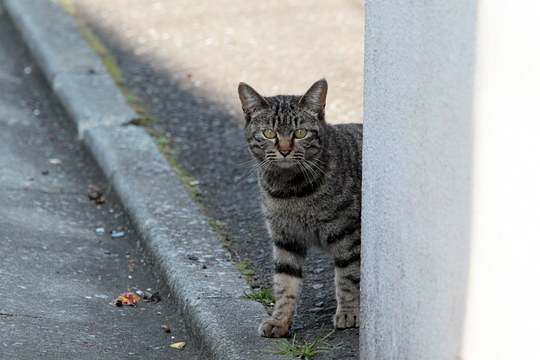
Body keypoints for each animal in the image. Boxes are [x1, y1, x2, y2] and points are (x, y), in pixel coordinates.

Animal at [237, 79, 360, 338]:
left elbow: (348, 276)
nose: (284, 150)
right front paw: (280, 320)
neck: (290, 192)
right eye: (269, 133)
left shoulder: (349, 234)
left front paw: (349, 312)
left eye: (300, 133)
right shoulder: (285, 239)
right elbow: (285, 283)